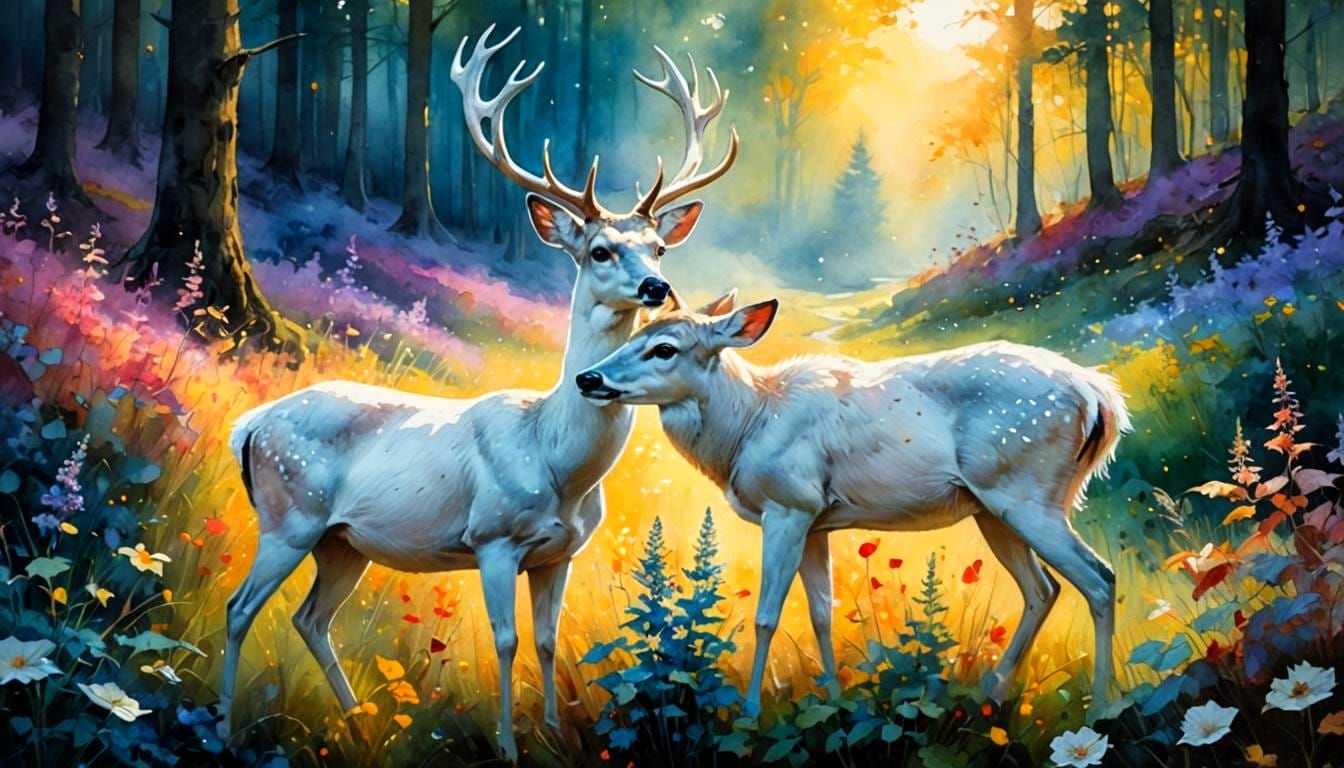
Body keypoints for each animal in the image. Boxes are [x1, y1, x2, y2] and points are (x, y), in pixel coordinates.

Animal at [215, 26, 738, 760]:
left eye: (659, 247)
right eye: (600, 250)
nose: (657, 287)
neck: (557, 459)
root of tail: (250, 425)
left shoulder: (560, 553)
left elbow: (545, 641)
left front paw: (554, 732)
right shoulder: (492, 537)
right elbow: (506, 640)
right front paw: (509, 746)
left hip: (342, 540)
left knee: (310, 618)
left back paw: (359, 721)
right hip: (289, 515)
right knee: (239, 610)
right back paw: (222, 724)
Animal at [575, 295, 1130, 717]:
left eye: (664, 348)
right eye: (632, 337)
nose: (588, 379)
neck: (748, 427)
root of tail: (1099, 397)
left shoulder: (789, 503)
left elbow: (767, 615)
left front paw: (750, 709)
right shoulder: (817, 521)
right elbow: (823, 612)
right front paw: (835, 698)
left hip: (1027, 492)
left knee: (1100, 578)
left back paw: (1102, 706)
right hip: (993, 506)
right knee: (1043, 588)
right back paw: (992, 690)